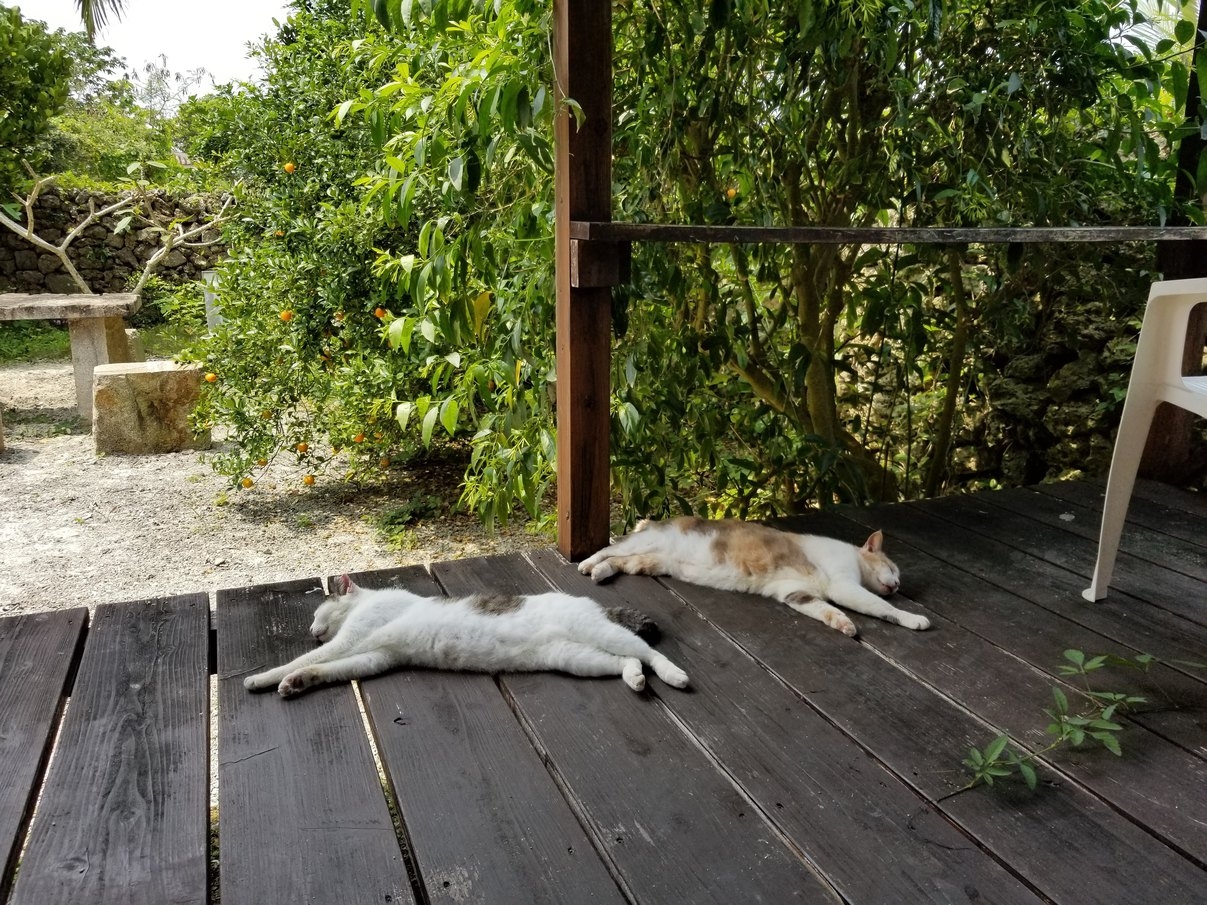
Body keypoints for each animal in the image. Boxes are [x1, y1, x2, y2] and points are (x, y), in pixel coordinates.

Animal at [242, 574, 690, 699]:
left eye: (319, 613)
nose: (311, 630)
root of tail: (592, 604)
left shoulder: (350, 640)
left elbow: (303, 660)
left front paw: (261, 678)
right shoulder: (375, 657)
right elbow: (323, 669)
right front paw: (295, 683)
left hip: (598, 632)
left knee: (648, 652)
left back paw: (674, 676)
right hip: (578, 659)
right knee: (626, 662)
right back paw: (634, 680)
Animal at [579, 516, 926, 637]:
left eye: (899, 578)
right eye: (893, 569)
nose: (897, 585)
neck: (853, 556)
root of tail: (656, 520)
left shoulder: (795, 593)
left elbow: (827, 611)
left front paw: (843, 625)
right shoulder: (844, 585)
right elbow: (882, 608)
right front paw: (914, 619)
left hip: (654, 561)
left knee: (622, 561)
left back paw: (601, 573)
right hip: (646, 543)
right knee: (610, 548)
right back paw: (587, 564)